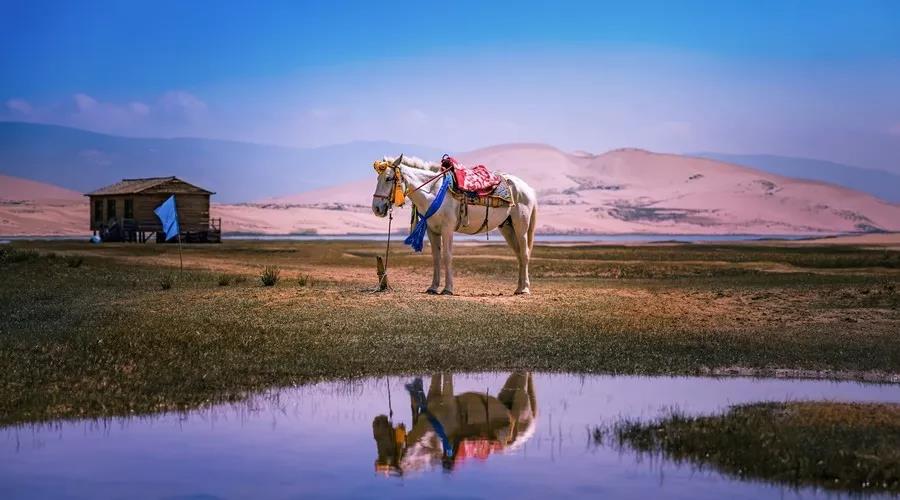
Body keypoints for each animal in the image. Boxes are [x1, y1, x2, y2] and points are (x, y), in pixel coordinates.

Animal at [370, 154, 536, 294]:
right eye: (377, 179)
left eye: (388, 178)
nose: (376, 208)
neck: (433, 191)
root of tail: (528, 189)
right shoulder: (432, 230)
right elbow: (436, 257)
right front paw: (433, 287)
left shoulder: (447, 229)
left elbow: (447, 255)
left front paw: (448, 289)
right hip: (508, 228)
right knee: (519, 255)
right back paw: (518, 288)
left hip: (520, 226)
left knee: (525, 253)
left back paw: (524, 289)